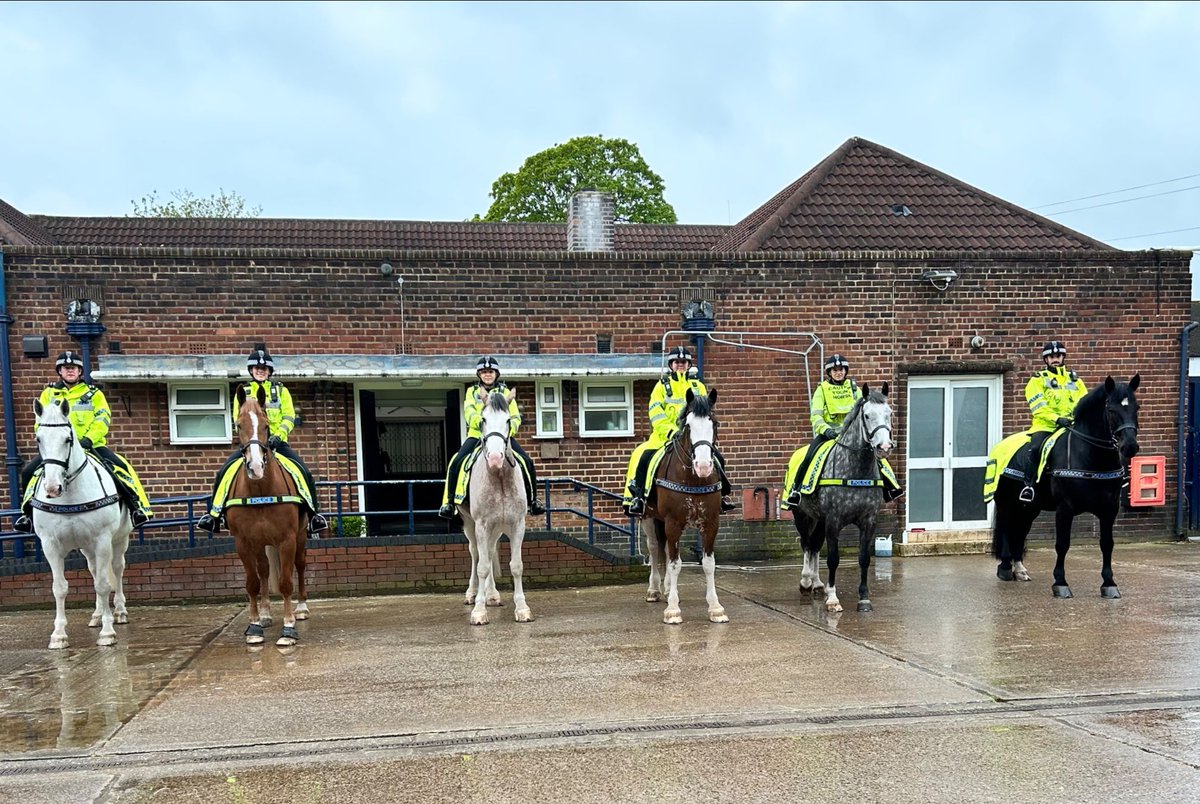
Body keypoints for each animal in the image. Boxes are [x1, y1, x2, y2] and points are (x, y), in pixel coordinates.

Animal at [30, 400, 131, 652]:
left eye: (68, 439)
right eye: (38, 439)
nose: (53, 487)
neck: (69, 498)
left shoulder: (102, 540)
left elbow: (103, 585)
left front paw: (107, 632)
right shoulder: (50, 545)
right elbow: (60, 587)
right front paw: (58, 635)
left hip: (119, 540)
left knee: (117, 569)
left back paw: (120, 611)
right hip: (87, 549)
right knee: (94, 571)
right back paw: (96, 615)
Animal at [225, 386, 309, 648]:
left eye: (265, 425)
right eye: (238, 424)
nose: (255, 468)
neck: (260, 491)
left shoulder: (287, 540)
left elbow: (285, 582)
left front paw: (289, 628)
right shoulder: (242, 542)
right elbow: (252, 583)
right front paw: (254, 626)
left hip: (300, 537)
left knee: (300, 565)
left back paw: (301, 608)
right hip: (259, 542)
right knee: (263, 570)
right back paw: (264, 614)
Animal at [456, 386, 532, 628]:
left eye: (508, 420)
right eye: (483, 420)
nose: (496, 458)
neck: (499, 479)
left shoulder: (517, 524)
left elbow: (516, 566)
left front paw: (522, 608)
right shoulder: (481, 525)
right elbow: (481, 566)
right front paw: (479, 612)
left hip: (496, 528)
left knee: (489, 553)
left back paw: (492, 595)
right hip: (471, 525)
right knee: (476, 554)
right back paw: (473, 594)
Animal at [638, 386, 720, 628]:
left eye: (714, 423)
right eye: (688, 425)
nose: (703, 466)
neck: (694, 479)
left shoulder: (711, 523)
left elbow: (708, 563)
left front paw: (715, 608)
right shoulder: (673, 523)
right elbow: (675, 564)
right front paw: (673, 610)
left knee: (664, 548)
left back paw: (665, 589)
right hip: (649, 518)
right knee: (654, 548)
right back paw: (654, 589)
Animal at [993, 376, 1142, 597]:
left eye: (1136, 407)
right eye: (1111, 409)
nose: (1130, 446)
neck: (1091, 457)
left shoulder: (1109, 509)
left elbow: (1107, 544)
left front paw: (1109, 583)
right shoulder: (1065, 508)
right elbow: (1062, 544)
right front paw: (1060, 582)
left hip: (1030, 507)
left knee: (1020, 531)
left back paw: (1019, 569)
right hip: (1006, 503)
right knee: (1005, 528)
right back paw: (1004, 568)